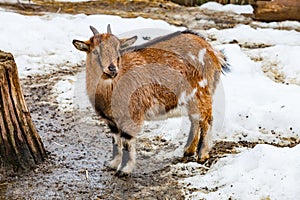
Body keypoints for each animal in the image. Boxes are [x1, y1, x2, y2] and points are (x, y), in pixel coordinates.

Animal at [73, 24, 230, 175]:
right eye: (95, 51)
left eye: (118, 50)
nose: (112, 68)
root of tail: (213, 52)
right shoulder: (112, 120)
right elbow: (116, 141)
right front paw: (113, 164)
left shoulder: (131, 114)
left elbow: (126, 142)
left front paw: (124, 170)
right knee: (195, 120)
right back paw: (188, 150)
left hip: (201, 93)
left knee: (206, 119)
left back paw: (202, 154)